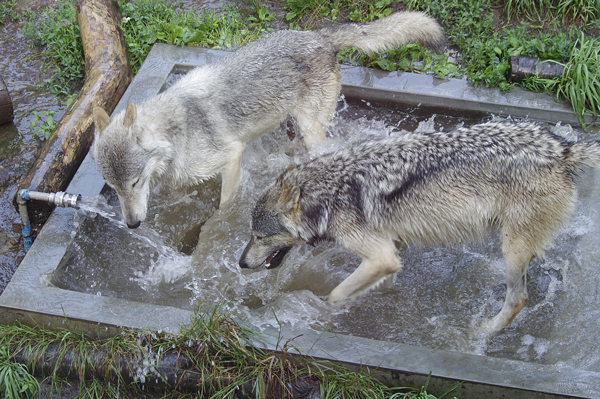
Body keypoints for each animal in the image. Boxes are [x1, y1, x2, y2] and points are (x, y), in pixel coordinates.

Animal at [90, 11, 446, 228]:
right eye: (113, 187)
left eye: (134, 183)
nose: (132, 224)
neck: (177, 129)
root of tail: (321, 37)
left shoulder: (231, 158)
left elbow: (225, 206)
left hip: (311, 130)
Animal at [238, 121, 600, 334]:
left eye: (259, 235)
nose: (240, 263)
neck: (330, 191)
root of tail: (563, 150)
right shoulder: (390, 250)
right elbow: (384, 281)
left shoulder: (380, 254)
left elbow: (336, 293)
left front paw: (326, 311)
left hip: (512, 246)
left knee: (518, 299)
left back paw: (482, 331)